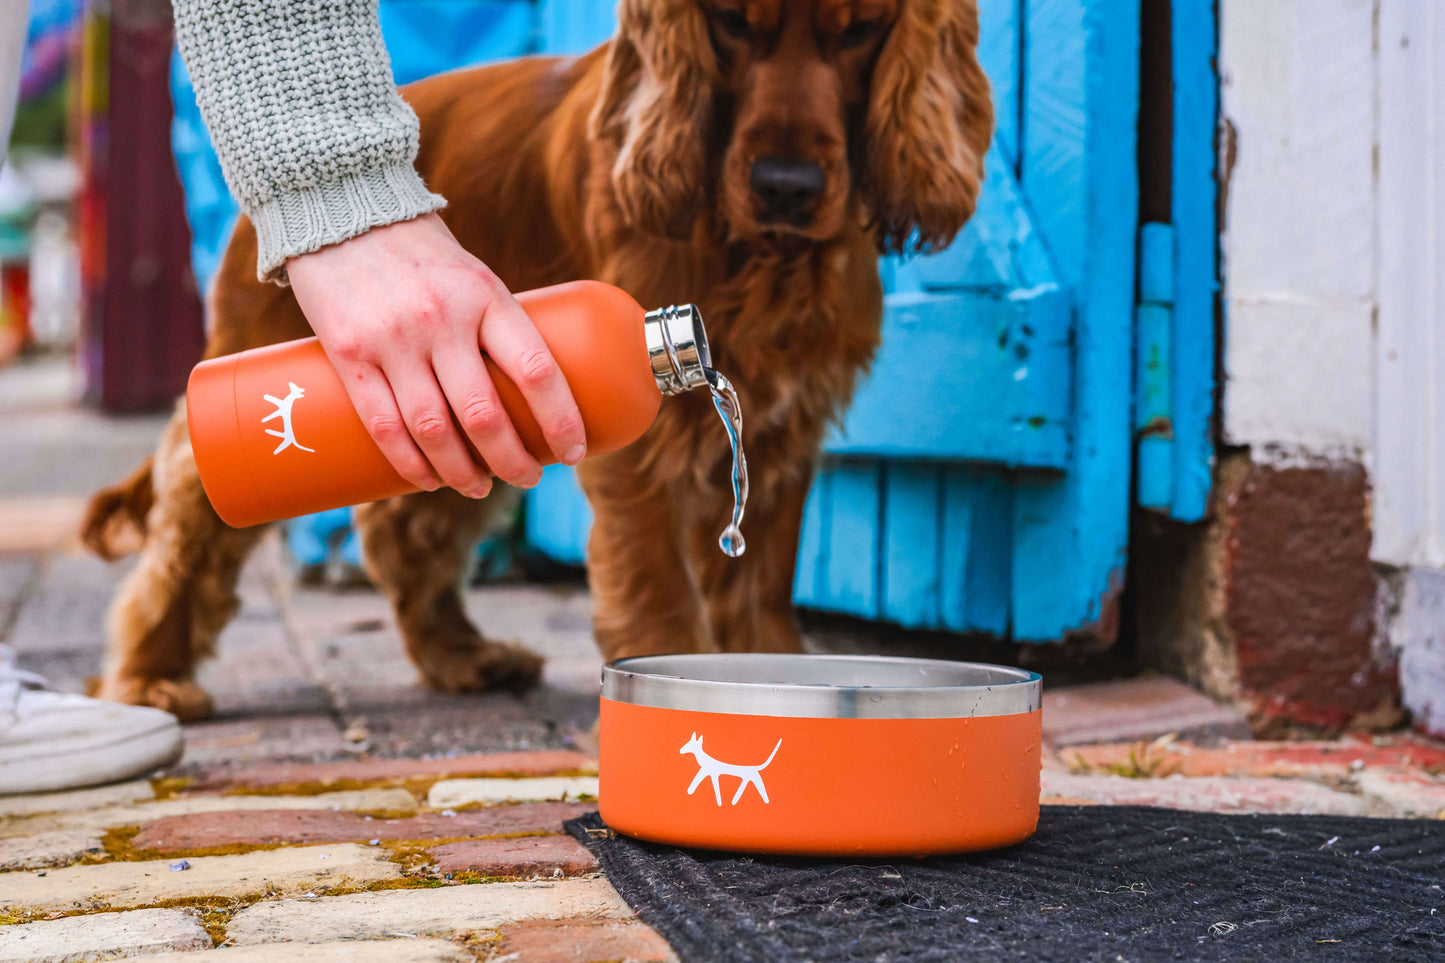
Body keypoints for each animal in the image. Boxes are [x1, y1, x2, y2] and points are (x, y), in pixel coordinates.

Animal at [79, 0, 988, 720]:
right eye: (731, 23)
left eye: (861, 31)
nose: (787, 187)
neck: (755, 256)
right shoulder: (642, 455)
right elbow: (656, 584)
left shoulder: (778, 429)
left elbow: (758, 579)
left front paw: (773, 666)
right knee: (188, 537)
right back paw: (150, 677)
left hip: (448, 415)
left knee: (404, 532)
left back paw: (459, 656)